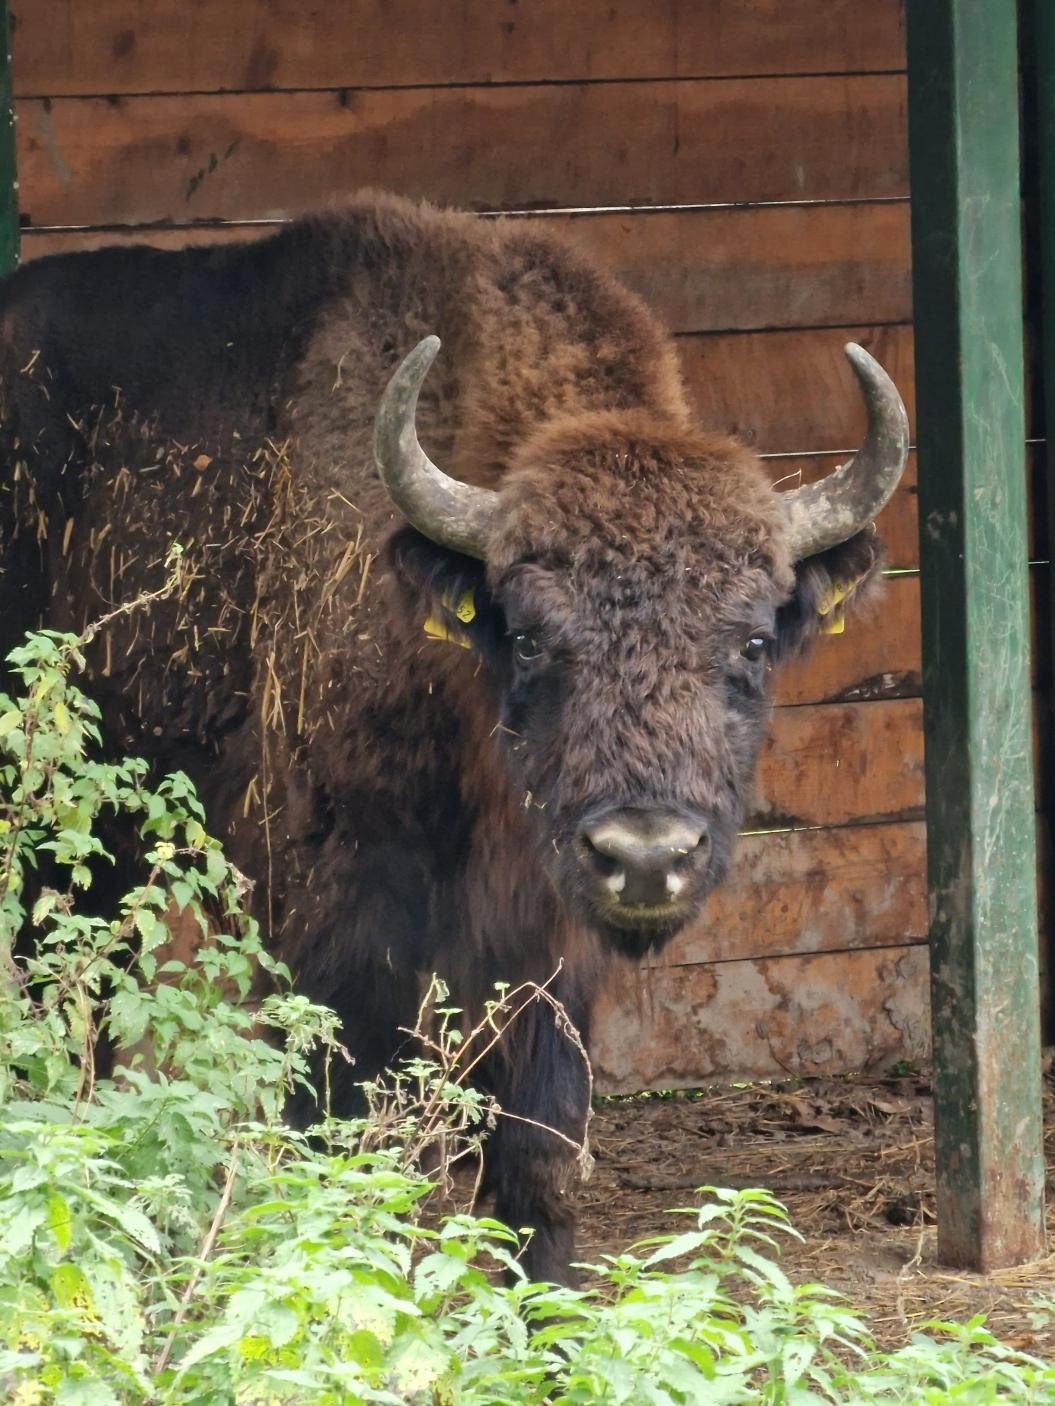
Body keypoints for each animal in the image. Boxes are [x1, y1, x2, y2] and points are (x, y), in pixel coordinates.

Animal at [0, 192, 911, 1282]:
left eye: (752, 640)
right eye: (526, 635)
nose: (647, 856)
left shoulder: (549, 950)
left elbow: (539, 1150)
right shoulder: (336, 921)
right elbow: (342, 1131)